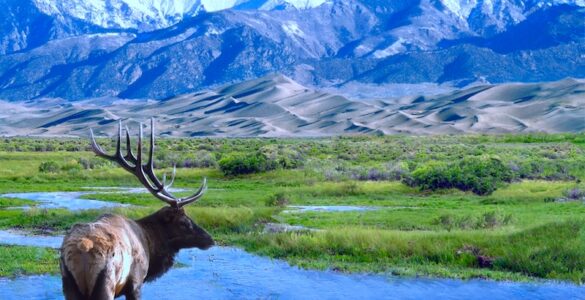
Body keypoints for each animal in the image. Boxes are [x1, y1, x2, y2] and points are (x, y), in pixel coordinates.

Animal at [60, 118, 214, 298]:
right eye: (184, 222)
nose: (210, 239)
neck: (150, 243)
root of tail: (84, 247)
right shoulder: (136, 281)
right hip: (106, 282)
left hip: (68, 282)